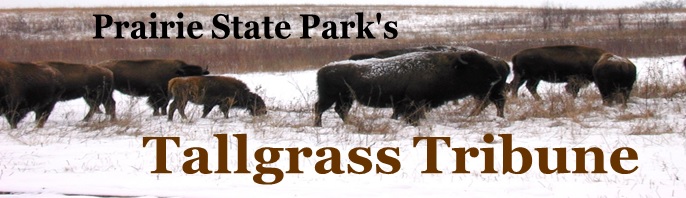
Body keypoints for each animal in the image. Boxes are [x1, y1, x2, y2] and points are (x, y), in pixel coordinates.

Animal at [318, 50, 506, 126]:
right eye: (476, 66)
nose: (495, 76)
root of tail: (323, 69)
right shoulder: (413, 103)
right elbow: (411, 116)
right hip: (330, 98)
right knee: (320, 109)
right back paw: (319, 125)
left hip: (345, 99)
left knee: (340, 111)